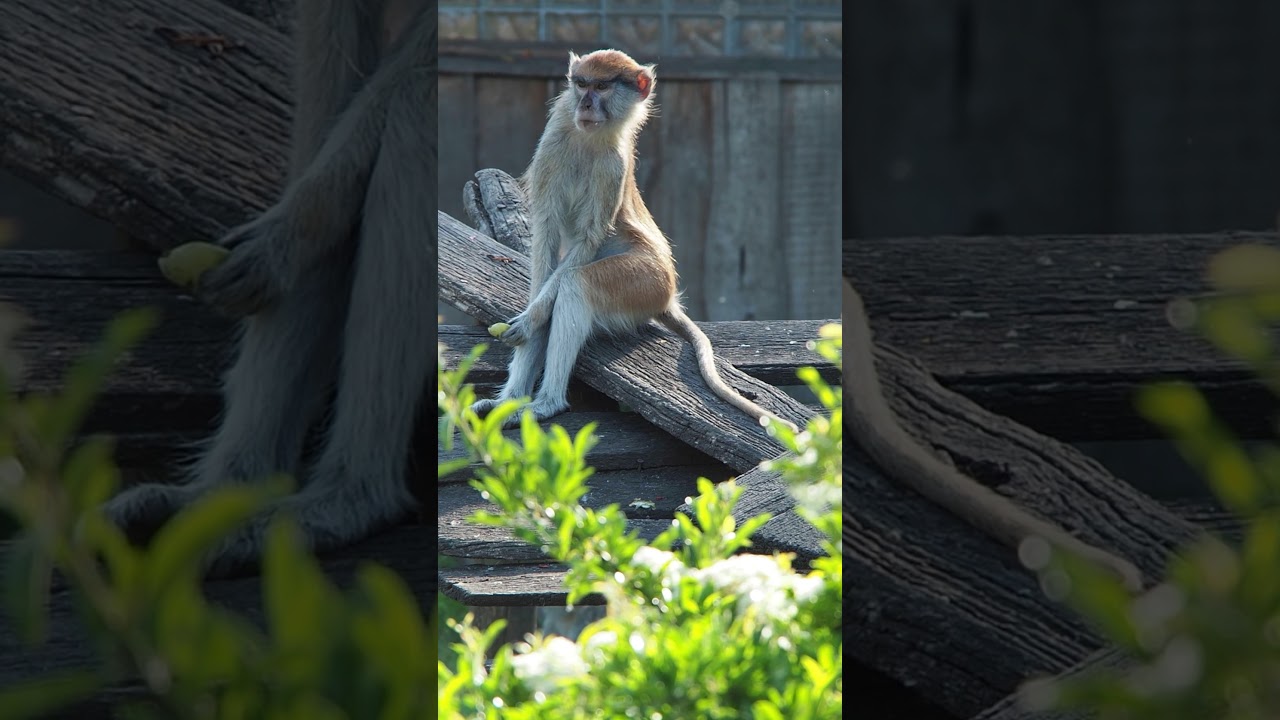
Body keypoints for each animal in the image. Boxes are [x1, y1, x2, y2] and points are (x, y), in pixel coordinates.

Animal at [470, 49, 796, 434]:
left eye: (601, 87)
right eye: (581, 84)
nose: (585, 104)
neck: (588, 139)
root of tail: (668, 298)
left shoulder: (614, 166)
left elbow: (586, 243)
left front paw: (532, 318)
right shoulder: (551, 148)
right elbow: (546, 241)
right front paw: (531, 320)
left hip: (645, 284)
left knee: (577, 283)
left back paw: (547, 404)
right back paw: (511, 403)